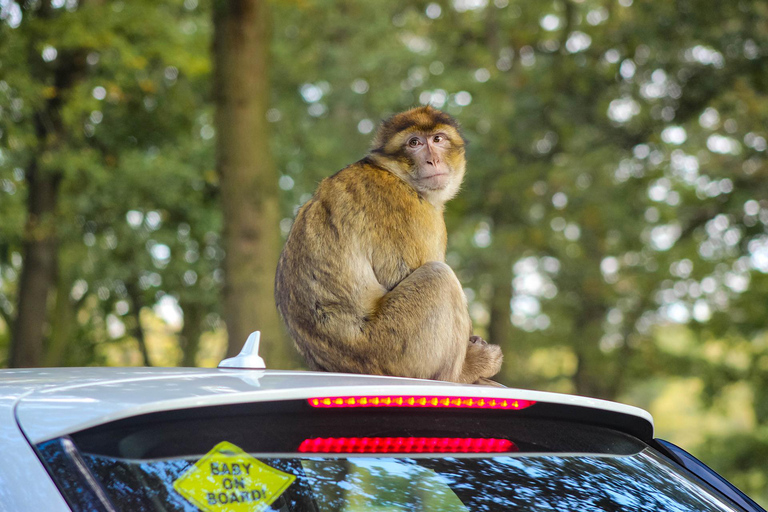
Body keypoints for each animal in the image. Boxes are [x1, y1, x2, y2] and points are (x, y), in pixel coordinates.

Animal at [276, 105, 504, 384]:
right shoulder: (410, 210)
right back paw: (465, 370)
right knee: (438, 276)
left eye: (437, 139)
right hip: (395, 350)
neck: (396, 174)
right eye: (414, 143)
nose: (433, 160)